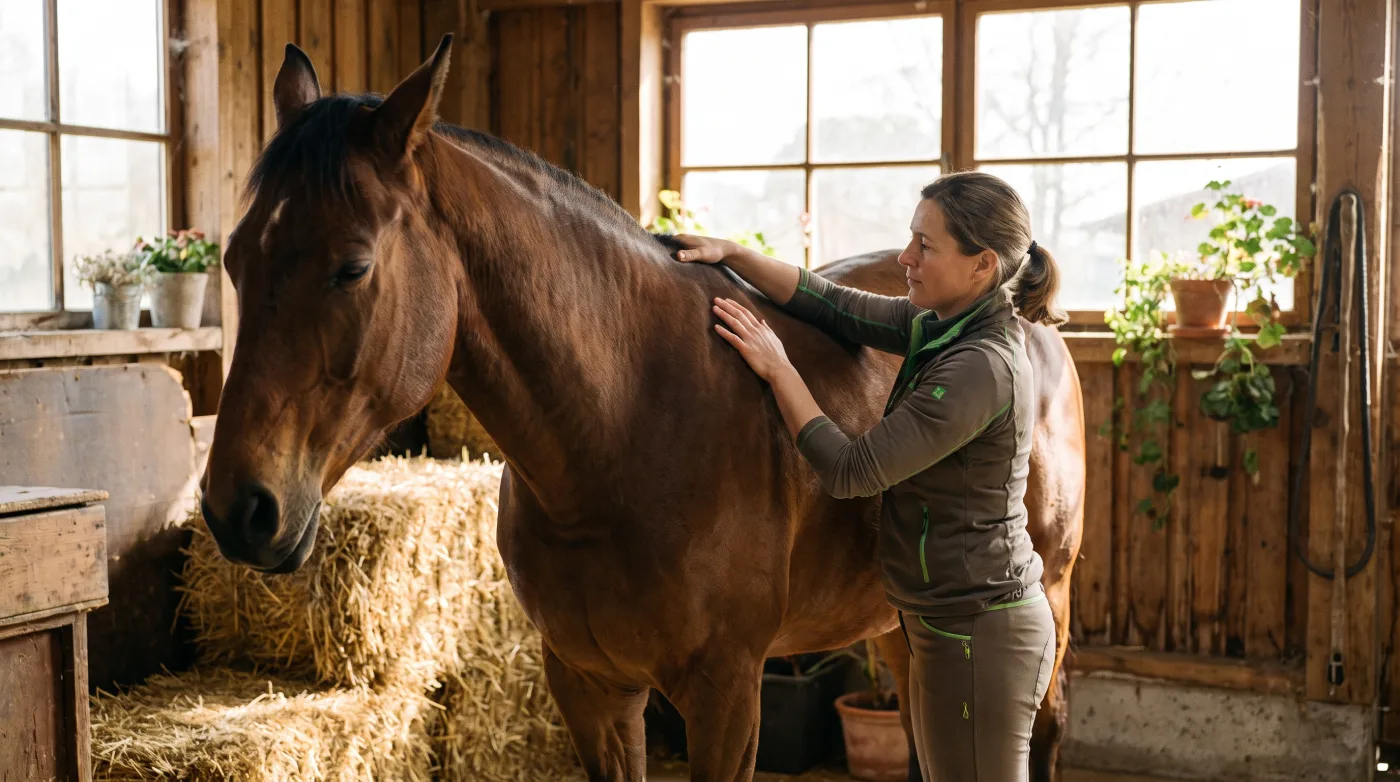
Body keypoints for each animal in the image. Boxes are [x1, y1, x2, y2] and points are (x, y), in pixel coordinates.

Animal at [199, 36, 1085, 781]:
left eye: (351, 268)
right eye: (234, 258)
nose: (239, 509)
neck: (625, 431)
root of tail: (1028, 318)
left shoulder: (726, 693)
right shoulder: (588, 684)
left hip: (1045, 599)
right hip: (901, 627)